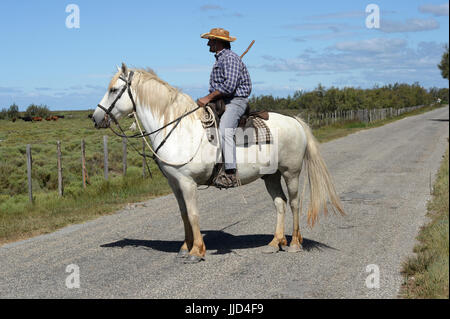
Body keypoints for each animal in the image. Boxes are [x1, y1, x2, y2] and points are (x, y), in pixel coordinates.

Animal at [92, 63, 344, 264]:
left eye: (113, 90)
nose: (95, 117)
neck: (178, 129)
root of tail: (295, 121)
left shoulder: (188, 183)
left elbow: (193, 214)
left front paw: (196, 251)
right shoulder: (175, 183)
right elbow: (183, 214)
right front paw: (184, 247)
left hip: (291, 172)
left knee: (294, 203)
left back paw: (294, 243)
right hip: (270, 176)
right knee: (280, 204)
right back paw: (275, 243)